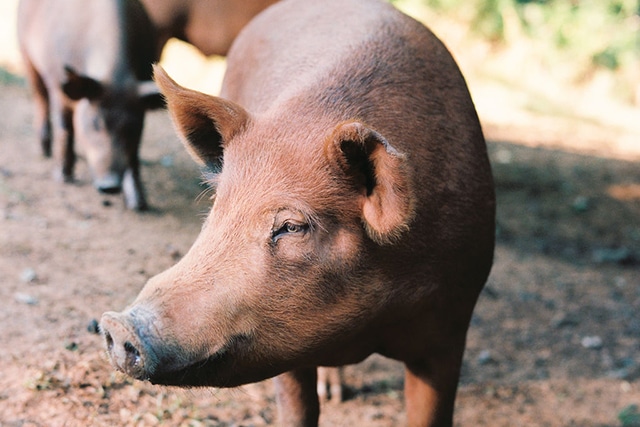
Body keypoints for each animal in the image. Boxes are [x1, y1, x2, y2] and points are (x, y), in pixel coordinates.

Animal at [17, 0, 164, 209]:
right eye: (96, 122)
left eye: (132, 127)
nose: (110, 185)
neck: (114, 78)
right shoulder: (57, 83)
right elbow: (66, 128)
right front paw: (63, 177)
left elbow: (134, 153)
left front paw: (138, 205)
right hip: (25, 52)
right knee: (40, 98)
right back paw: (45, 151)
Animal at [102, 0, 498, 424]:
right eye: (217, 206)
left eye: (292, 226)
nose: (116, 325)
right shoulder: (280, 337)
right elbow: (297, 407)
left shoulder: (451, 324)